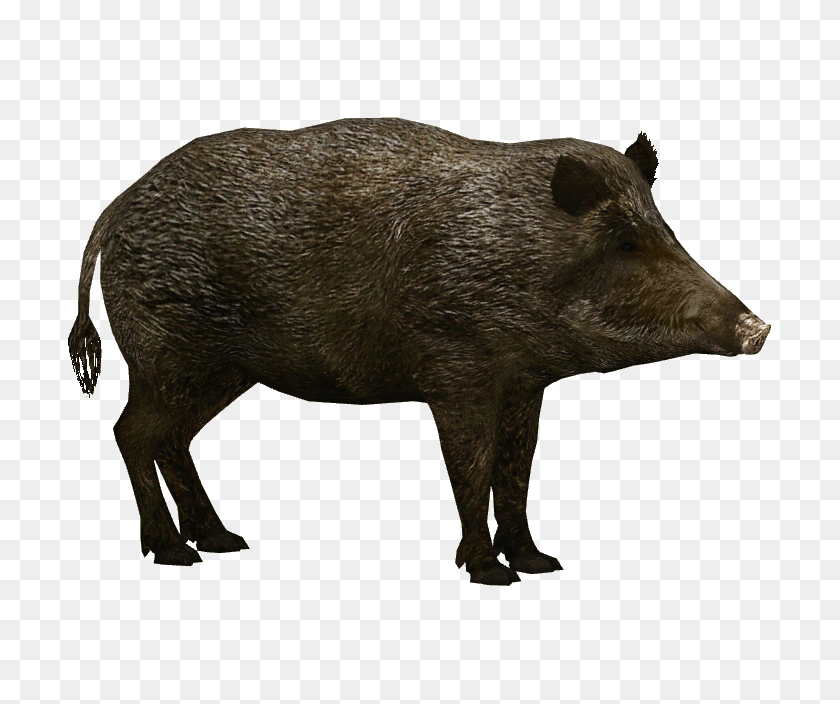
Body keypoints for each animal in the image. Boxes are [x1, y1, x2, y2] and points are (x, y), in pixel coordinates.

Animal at [68, 118, 771, 584]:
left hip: (221, 370)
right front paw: (492, 573)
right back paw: (176, 552)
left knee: (170, 438)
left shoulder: (526, 384)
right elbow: (474, 467)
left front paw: (541, 563)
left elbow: (517, 469)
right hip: (167, 353)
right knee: (132, 431)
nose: (758, 329)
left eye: (667, 231)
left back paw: (224, 541)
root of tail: (118, 207)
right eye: (624, 243)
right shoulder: (456, 372)